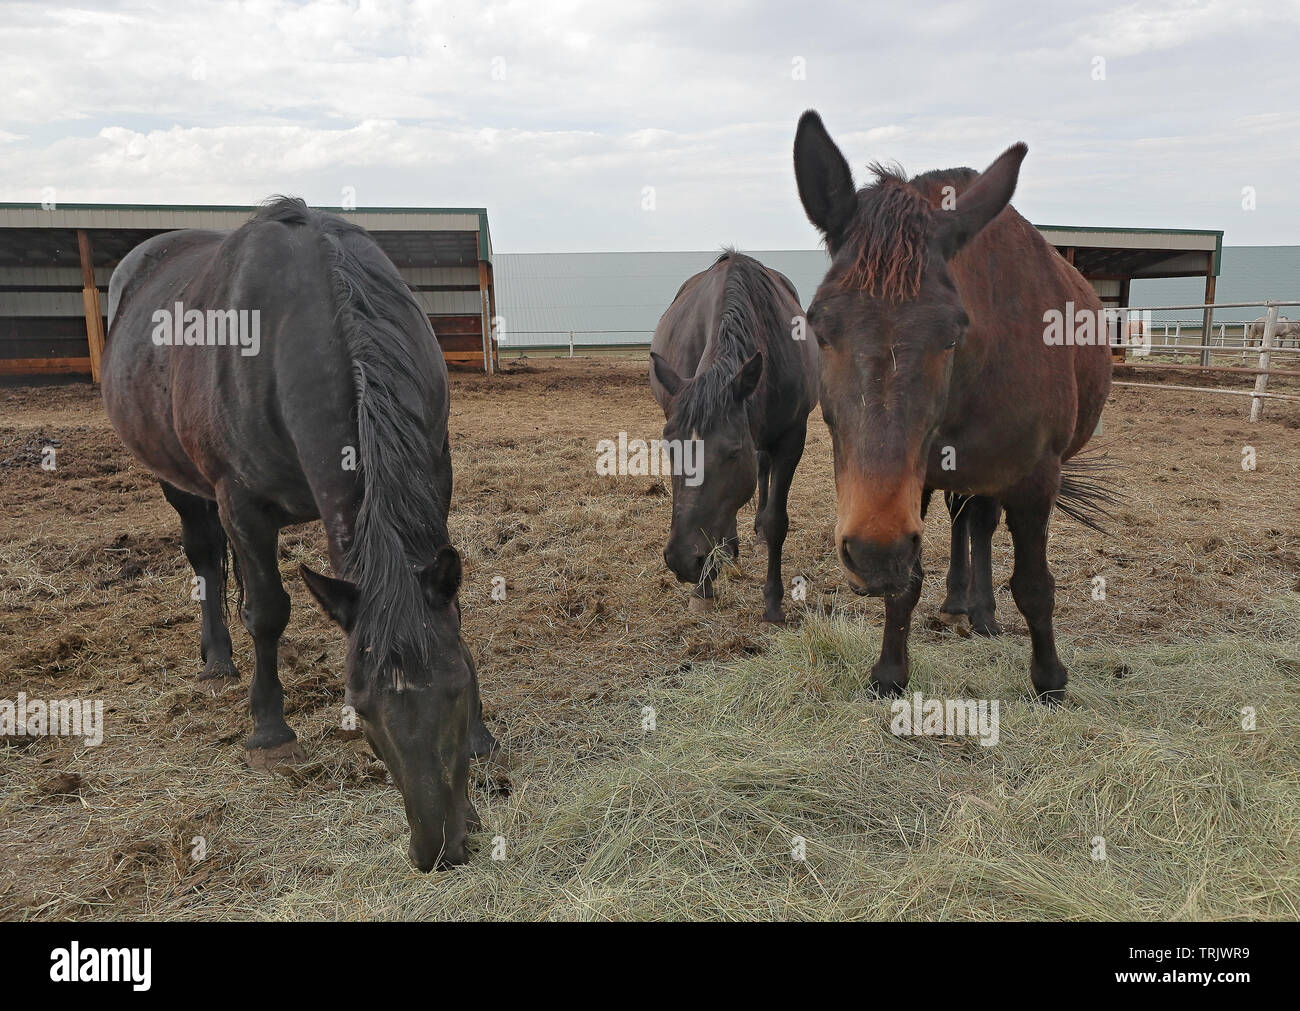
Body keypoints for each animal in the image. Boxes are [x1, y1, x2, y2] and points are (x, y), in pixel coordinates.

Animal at [102, 197, 498, 870]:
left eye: (459, 688)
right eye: (359, 709)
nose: (437, 847)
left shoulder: (436, 468)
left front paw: (480, 736)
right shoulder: (241, 501)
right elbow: (267, 611)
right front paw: (269, 730)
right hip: (181, 483)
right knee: (207, 560)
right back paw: (217, 658)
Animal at [649, 250, 818, 623]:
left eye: (731, 453)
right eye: (669, 449)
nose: (683, 560)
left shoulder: (792, 437)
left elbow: (776, 521)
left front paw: (773, 603)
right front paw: (703, 589)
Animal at [792, 111, 1113, 702]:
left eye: (951, 333)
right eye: (819, 326)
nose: (873, 553)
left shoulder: (1037, 477)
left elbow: (1034, 585)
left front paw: (1049, 680)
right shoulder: (911, 484)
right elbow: (907, 584)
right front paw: (890, 674)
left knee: (977, 521)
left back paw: (980, 611)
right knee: (967, 518)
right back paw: (961, 601)